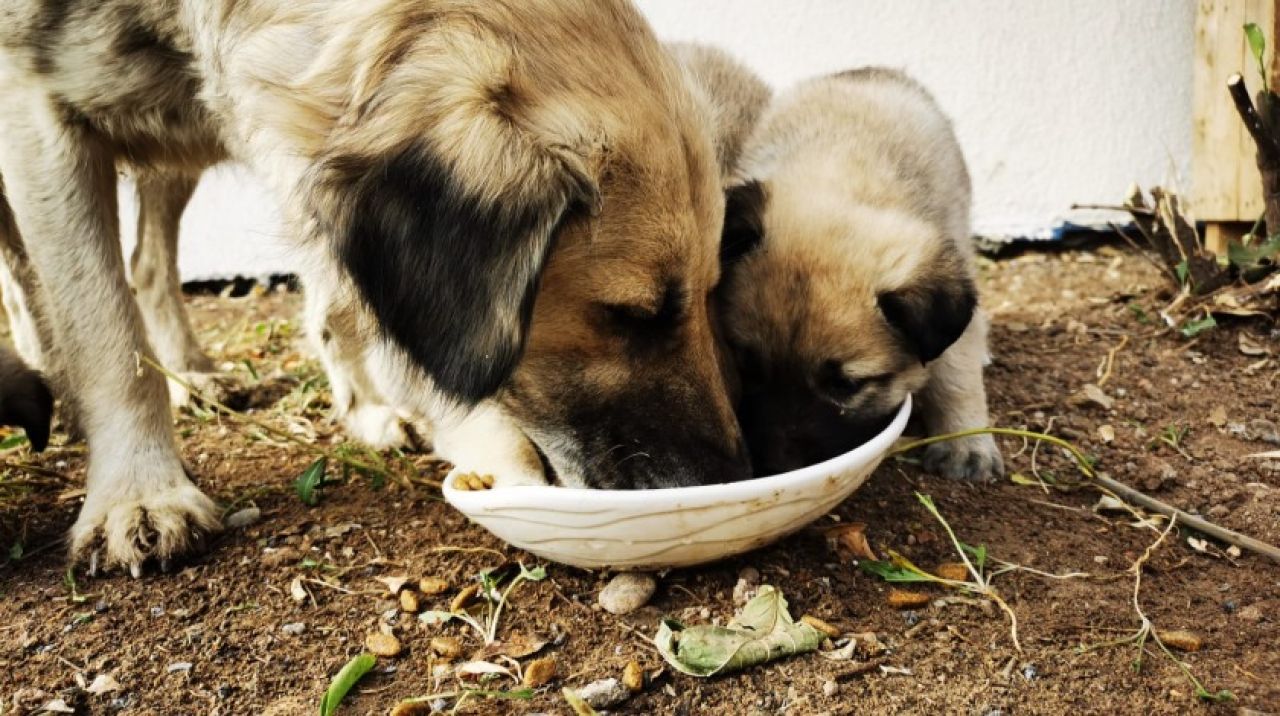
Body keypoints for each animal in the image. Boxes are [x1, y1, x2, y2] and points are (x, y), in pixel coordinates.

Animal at [0, 0, 752, 573]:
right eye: (634, 315)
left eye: (709, 293)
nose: (733, 476)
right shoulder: (34, 110)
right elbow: (105, 332)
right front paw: (139, 491)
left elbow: (337, 299)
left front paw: (368, 407)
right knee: (35, 275)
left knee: (151, 262)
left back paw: (188, 372)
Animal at [721, 68, 998, 481]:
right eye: (749, 366)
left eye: (846, 385)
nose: (777, 467)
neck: (840, 169)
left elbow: (955, 375)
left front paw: (966, 442)